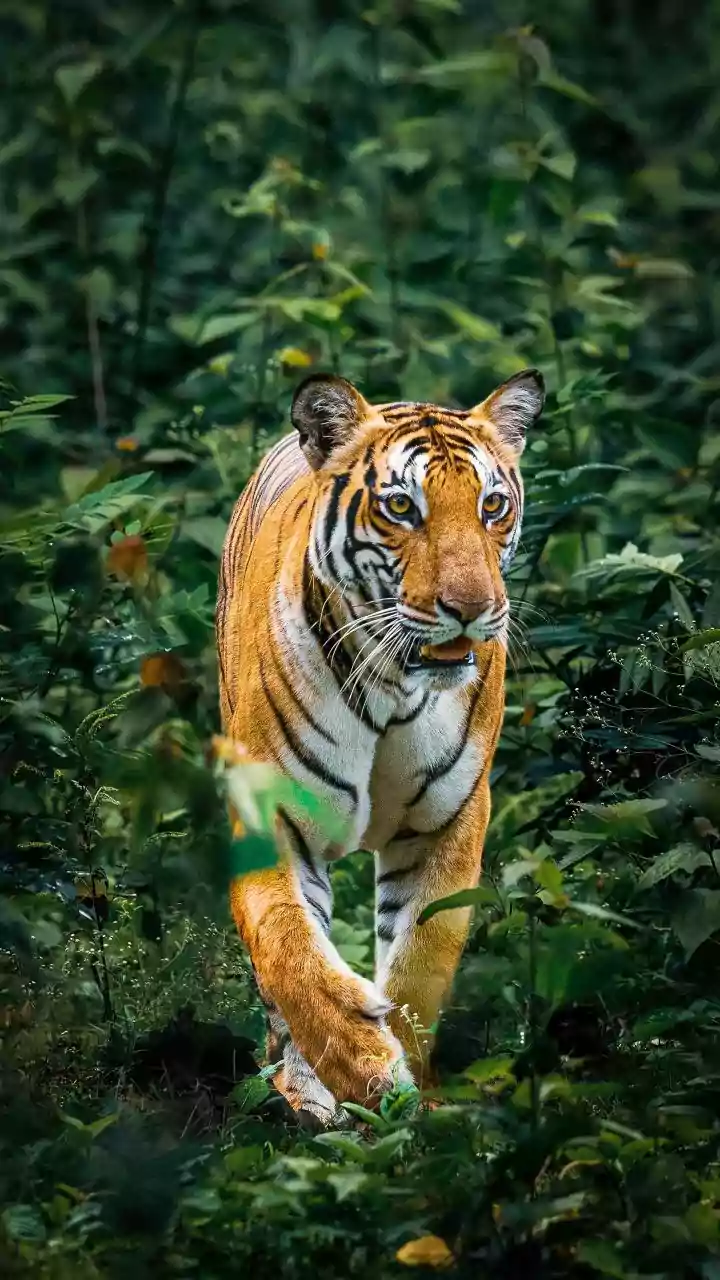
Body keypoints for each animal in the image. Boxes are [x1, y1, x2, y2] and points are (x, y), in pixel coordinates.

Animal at [216, 368, 544, 1125]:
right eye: (401, 507)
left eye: (492, 506)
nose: (470, 609)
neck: (394, 685)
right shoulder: (269, 813)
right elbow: (290, 950)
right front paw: (360, 1071)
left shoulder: (448, 822)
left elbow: (422, 962)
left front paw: (407, 1092)